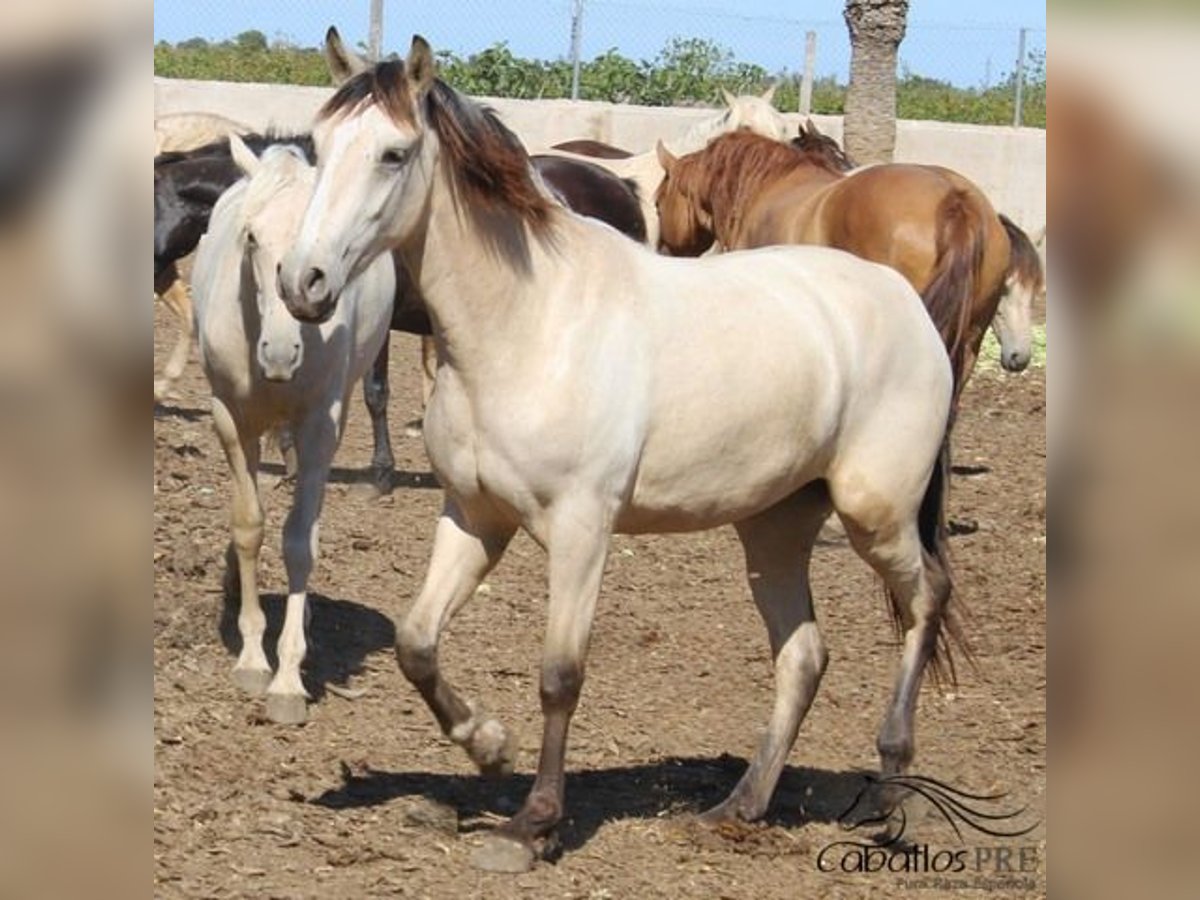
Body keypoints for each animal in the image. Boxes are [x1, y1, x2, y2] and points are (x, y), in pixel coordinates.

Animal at [188, 135, 393, 724]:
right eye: (251, 236)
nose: (281, 354)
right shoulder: (230, 418)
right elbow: (249, 525)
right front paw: (253, 658)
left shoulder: (321, 423)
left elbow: (300, 541)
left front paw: (287, 678)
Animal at [278, 42, 964, 873]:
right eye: (317, 146)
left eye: (393, 154)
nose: (302, 282)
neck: (529, 323)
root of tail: (906, 302)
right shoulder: (474, 516)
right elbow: (415, 643)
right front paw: (489, 748)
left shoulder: (582, 529)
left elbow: (560, 675)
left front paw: (532, 826)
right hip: (773, 528)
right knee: (804, 655)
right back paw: (737, 807)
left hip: (874, 511)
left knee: (927, 598)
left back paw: (895, 791)